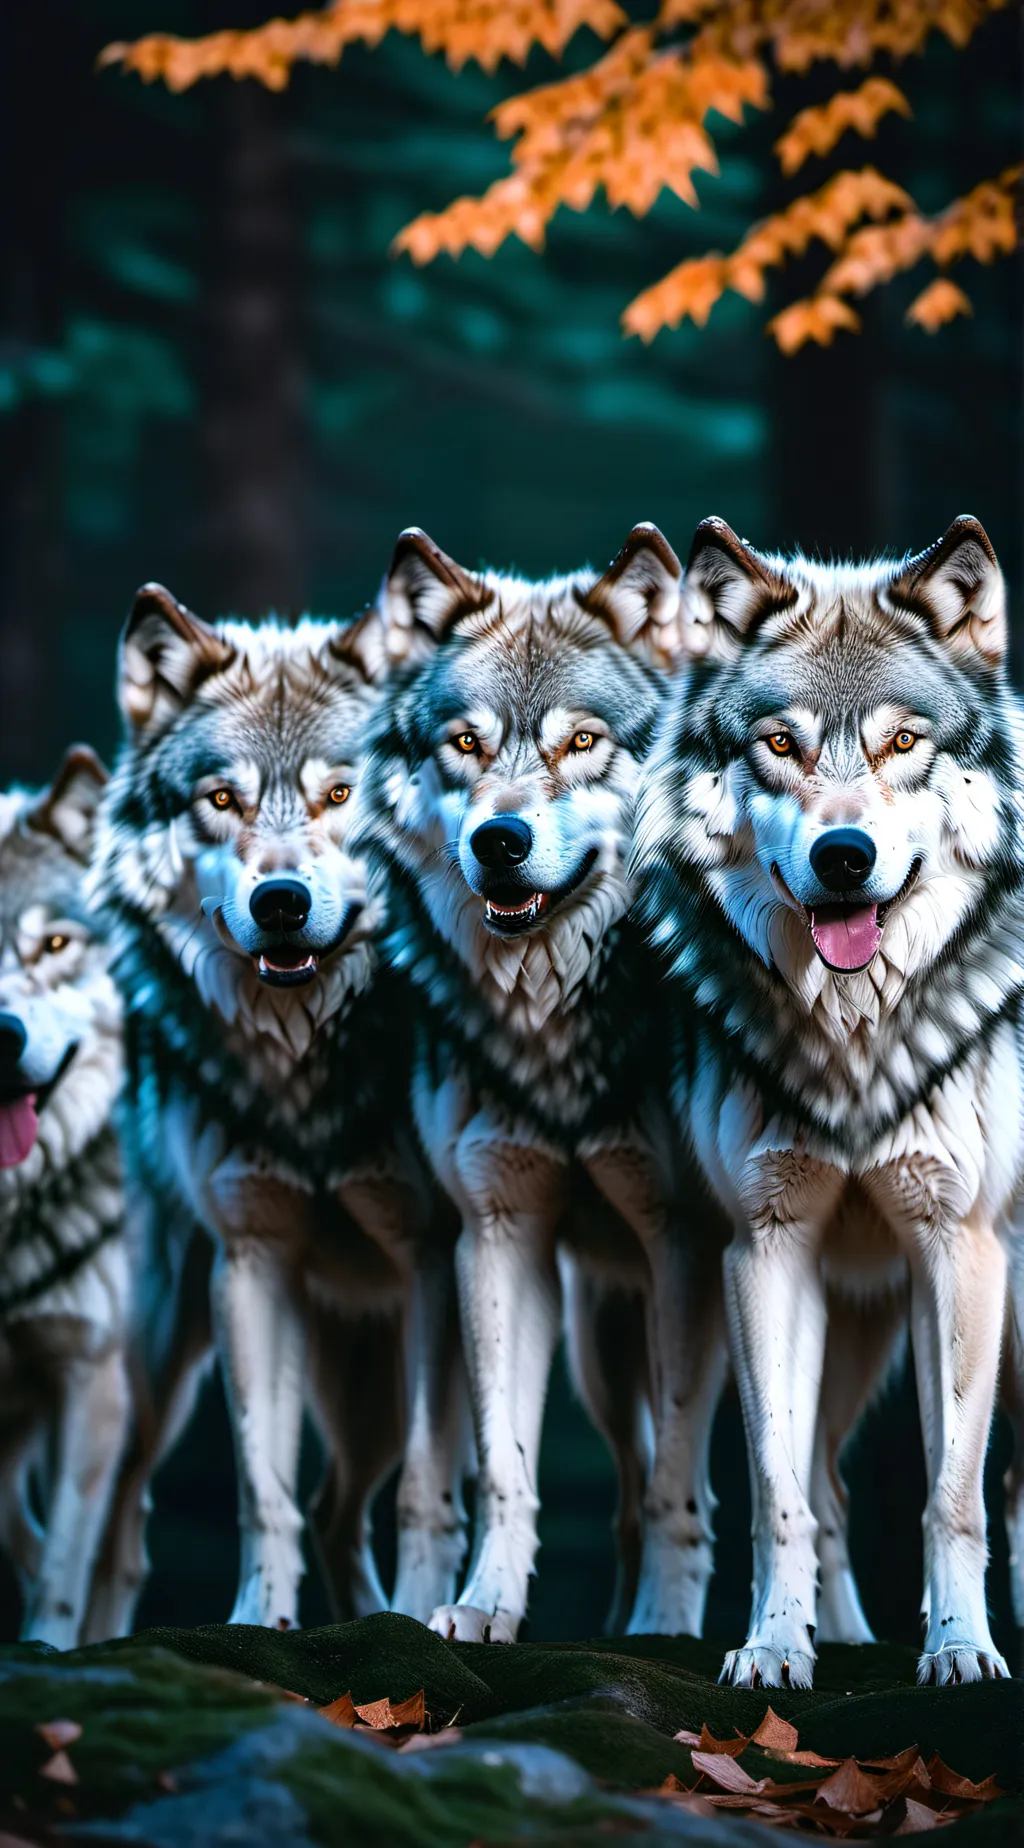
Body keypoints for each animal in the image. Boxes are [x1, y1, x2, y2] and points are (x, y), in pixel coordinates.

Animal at [87, 585, 466, 1635]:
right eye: (223, 800)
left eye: (343, 795)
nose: (283, 903)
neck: (306, 1063)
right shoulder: (252, 1263)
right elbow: (264, 1490)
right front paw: (260, 1625)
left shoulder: (435, 1259)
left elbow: (427, 1488)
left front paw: (418, 1624)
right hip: (159, 1355)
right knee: (121, 1526)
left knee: (347, 1507)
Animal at [359, 525, 727, 1643]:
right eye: (466, 746)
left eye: (580, 743)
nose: (499, 841)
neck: (553, 1023)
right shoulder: (497, 1234)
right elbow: (504, 1466)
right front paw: (485, 1607)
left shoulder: (688, 1241)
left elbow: (681, 1477)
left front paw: (665, 1632)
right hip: (600, 1342)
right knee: (626, 1481)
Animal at [633, 513, 1023, 1686]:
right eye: (780, 745)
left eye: (901, 745)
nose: (843, 857)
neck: (854, 1040)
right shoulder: (765, 1247)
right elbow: (776, 1490)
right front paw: (772, 1647)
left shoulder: (960, 1246)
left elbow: (952, 1494)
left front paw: (961, 1650)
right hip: (776, 1311)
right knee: (805, 1482)